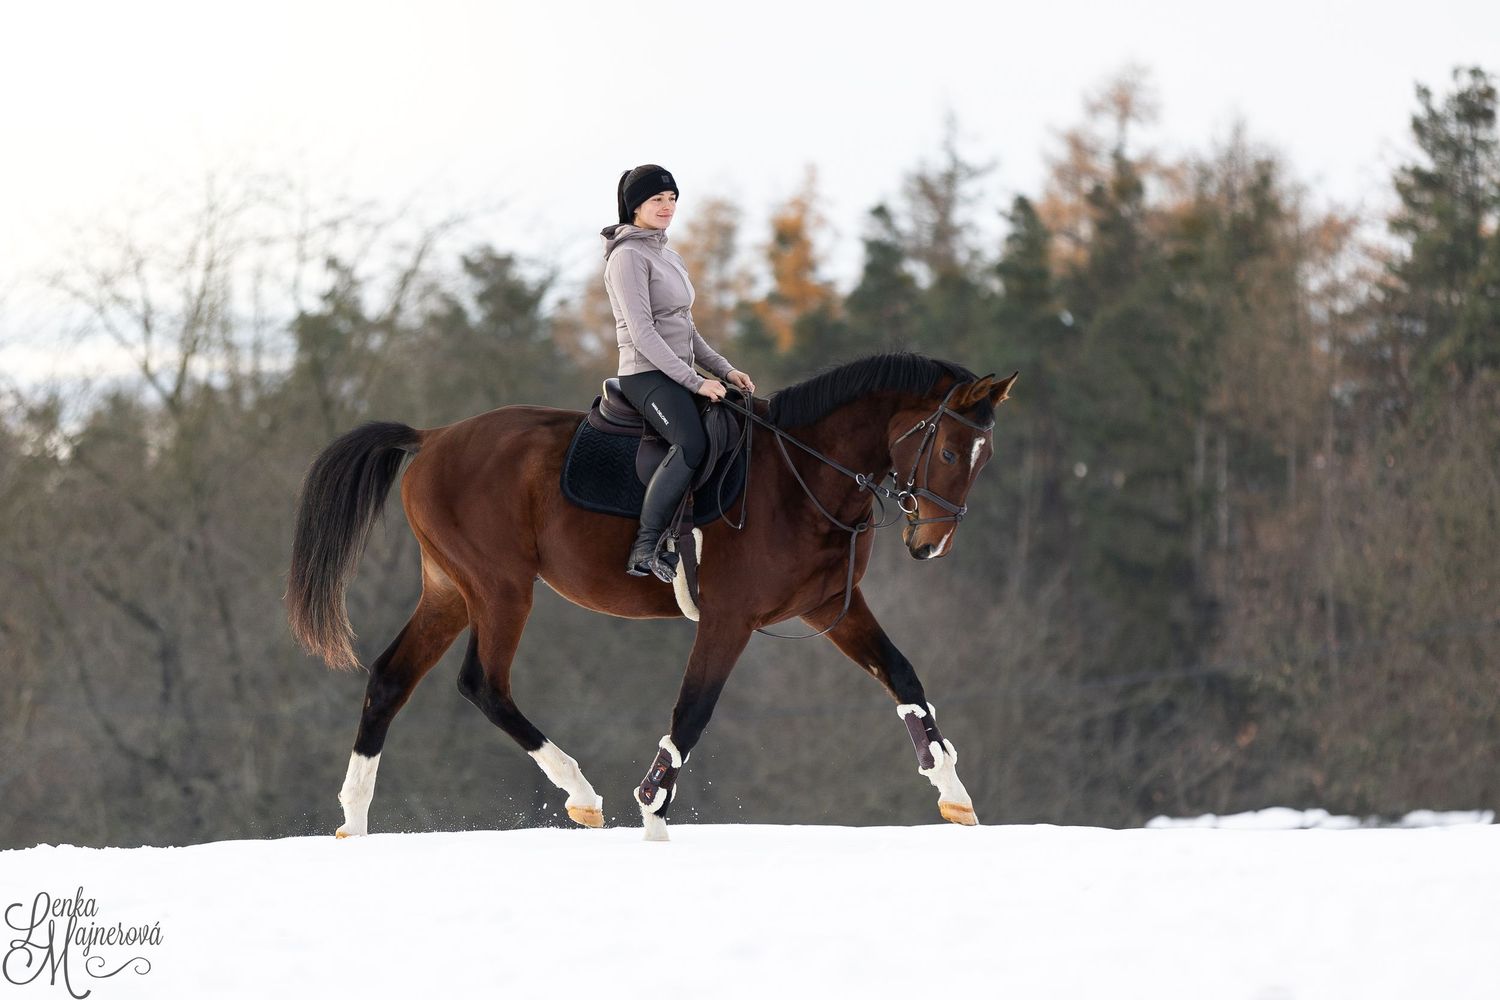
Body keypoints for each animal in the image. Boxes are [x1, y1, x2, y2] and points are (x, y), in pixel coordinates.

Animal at [285, 351, 1016, 840]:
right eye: (950, 452)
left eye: (984, 457)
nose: (931, 545)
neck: (802, 475)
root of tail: (433, 438)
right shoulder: (727, 619)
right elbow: (691, 713)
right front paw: (653, 817)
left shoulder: (829, 609)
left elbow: (903, 678)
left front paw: (954, 794)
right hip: (499, 588)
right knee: (483, 684)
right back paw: (581, 793)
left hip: (451, 590)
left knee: (390, 678)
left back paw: (355, 821)